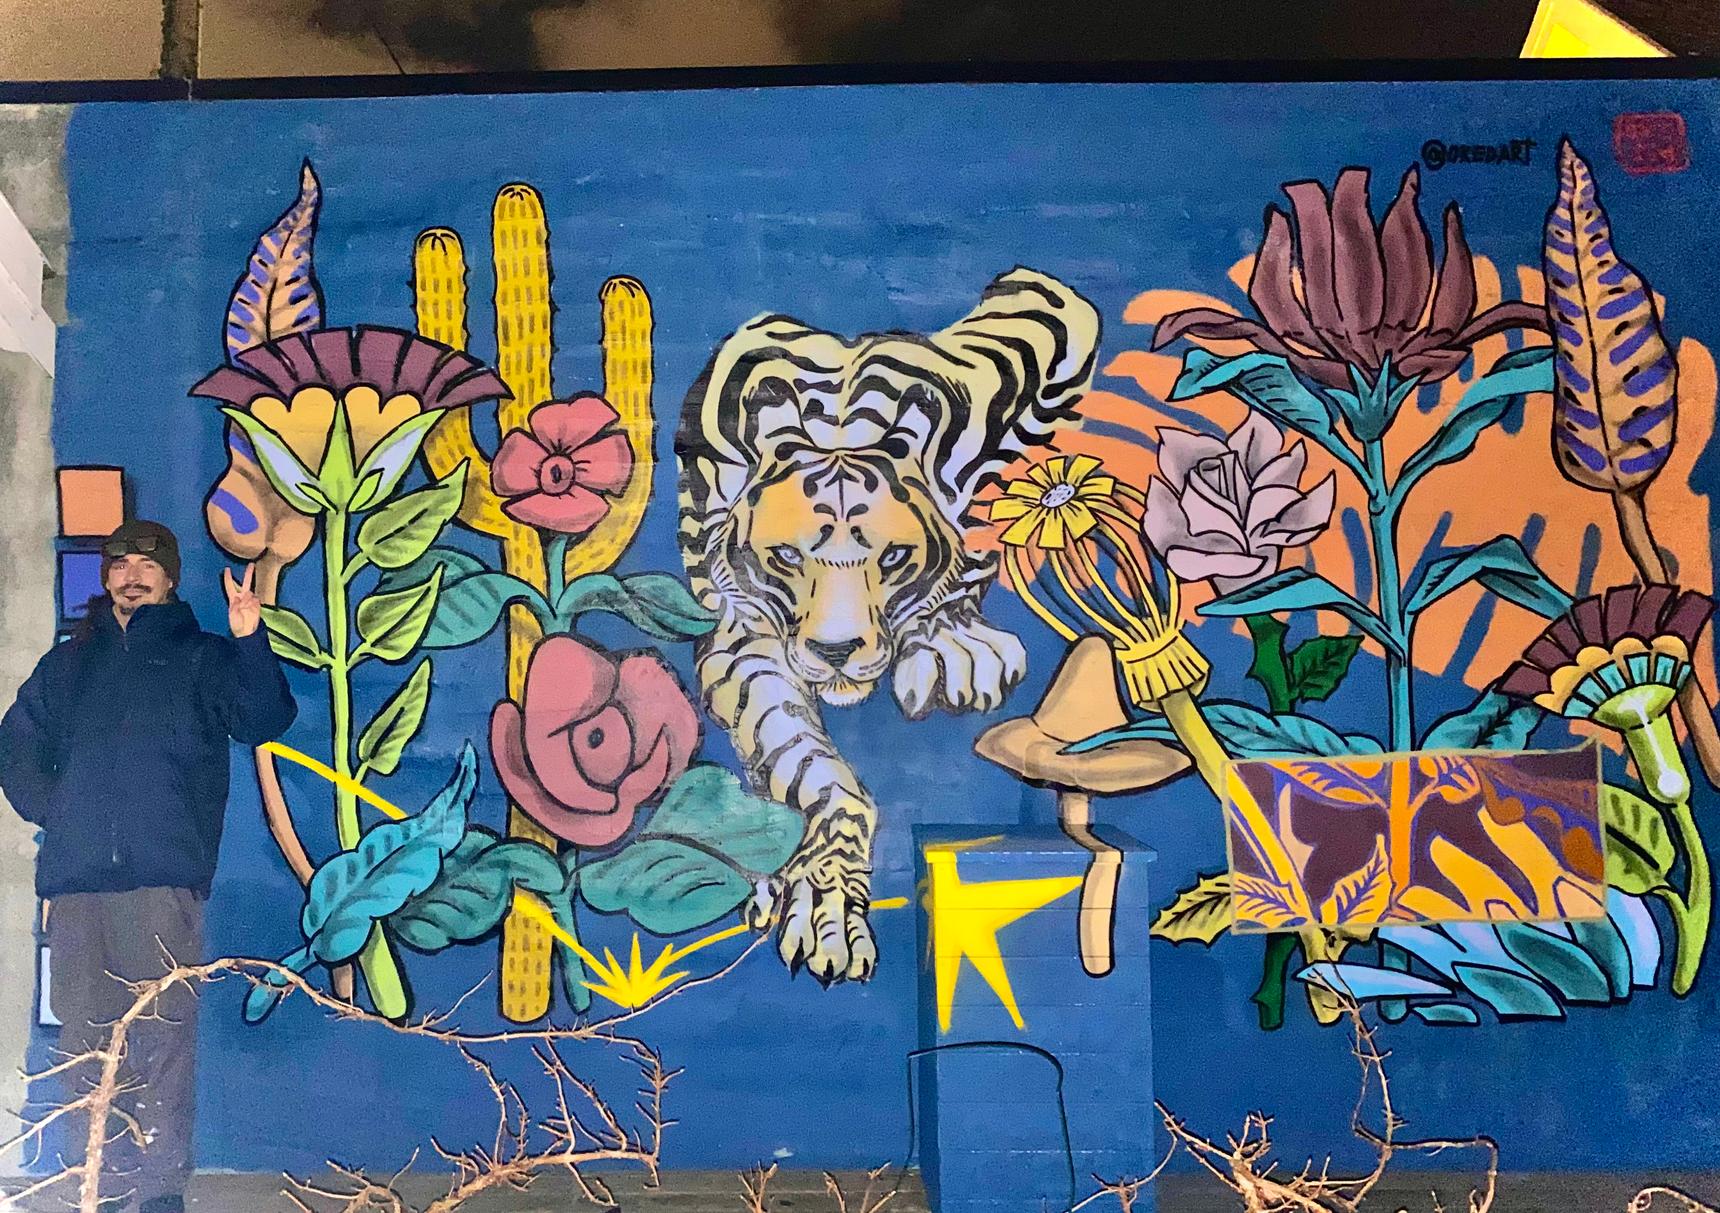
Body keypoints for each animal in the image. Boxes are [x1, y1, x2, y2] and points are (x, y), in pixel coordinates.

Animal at [675, 267, 1102, 983]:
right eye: (787, 555)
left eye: (893, 557)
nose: (836, 651)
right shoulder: (743, 639)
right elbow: (812, 770)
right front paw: (820, 902)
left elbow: (964, 567)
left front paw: (955, 644)